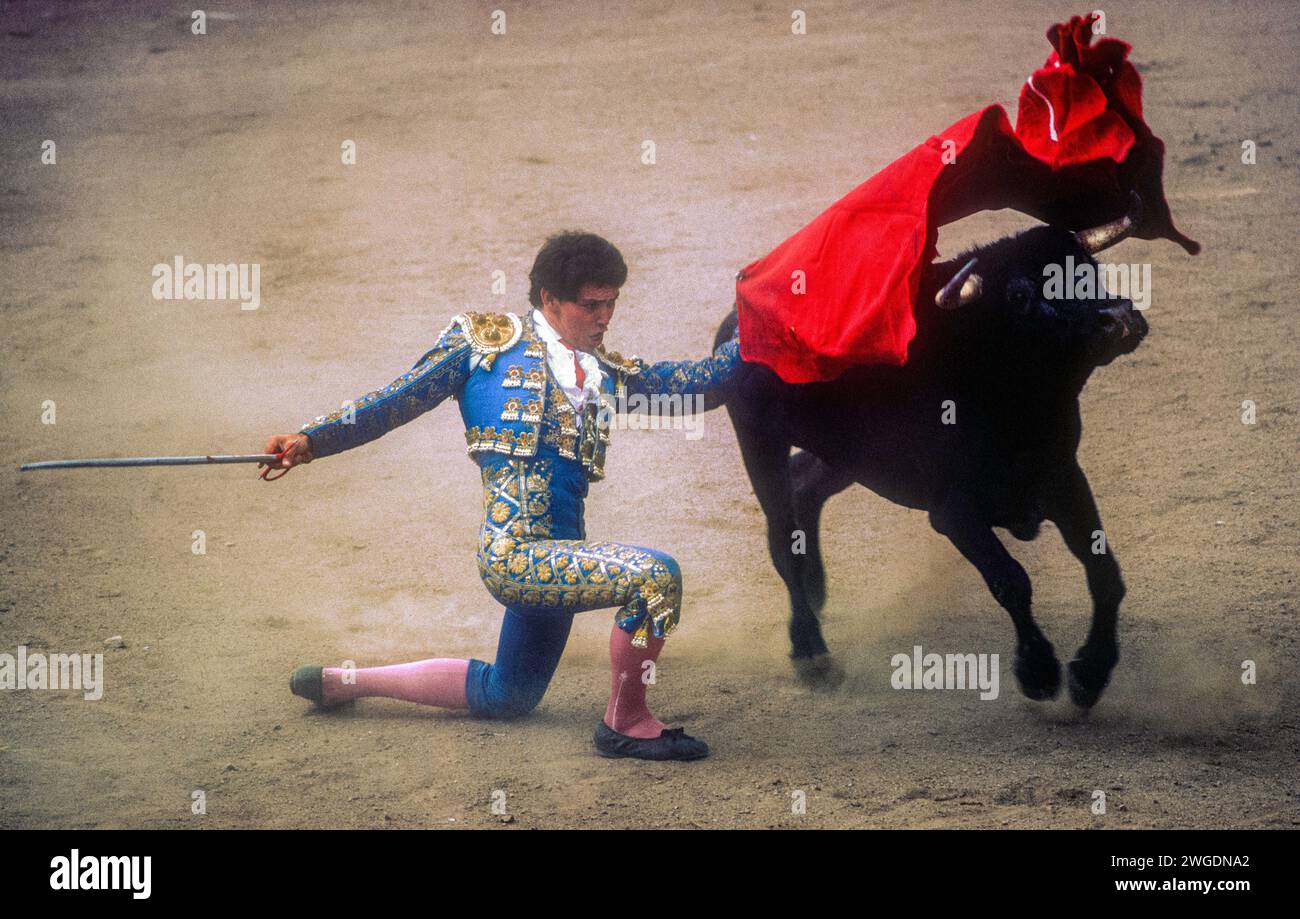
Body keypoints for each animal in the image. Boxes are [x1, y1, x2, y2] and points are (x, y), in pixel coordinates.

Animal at [712, 206, 1149, 712]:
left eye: (1090, 270)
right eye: (1020, 294)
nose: (1119, 317)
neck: (1017, 401)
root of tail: (734, 324)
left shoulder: (1064, 479)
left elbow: (1104, 572)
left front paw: (1090, 673)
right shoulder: (954, 512)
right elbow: (1011, 580)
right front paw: (1037, 672)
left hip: (850, 456)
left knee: (804, 487)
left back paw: (817, 592)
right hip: (759, 442)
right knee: (782, 538)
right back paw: (810, 650)